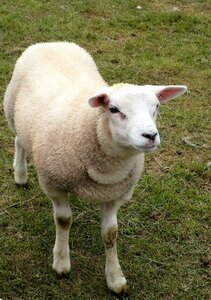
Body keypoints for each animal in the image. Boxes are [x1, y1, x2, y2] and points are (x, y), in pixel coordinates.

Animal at [3, 42, 187, 296]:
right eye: (113, 109)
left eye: (156, 106)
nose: (150, 136)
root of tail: (52, 42)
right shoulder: (54, 185)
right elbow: (64, 220)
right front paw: (61, 263)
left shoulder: (116, 194)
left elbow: (110, 234)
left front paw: (115, 279)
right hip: (12, 112)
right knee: (19, 141)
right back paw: (20, 175)